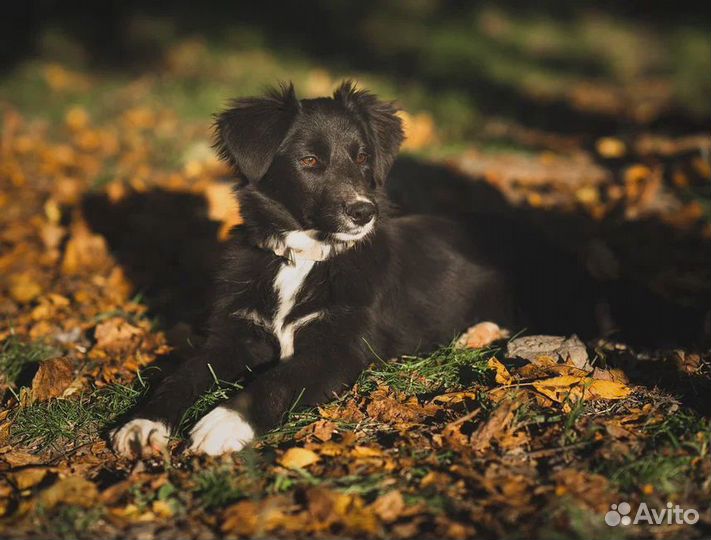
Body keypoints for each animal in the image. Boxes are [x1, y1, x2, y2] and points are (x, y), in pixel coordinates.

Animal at [111, 82, 588, 458]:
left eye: (361, 158)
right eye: (309, 162)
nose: (363, 212)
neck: (304, 259)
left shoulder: (337, 350)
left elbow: (278, 380)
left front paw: (223, 422)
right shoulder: (234, 335)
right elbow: (182, 374)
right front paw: (142, 423)